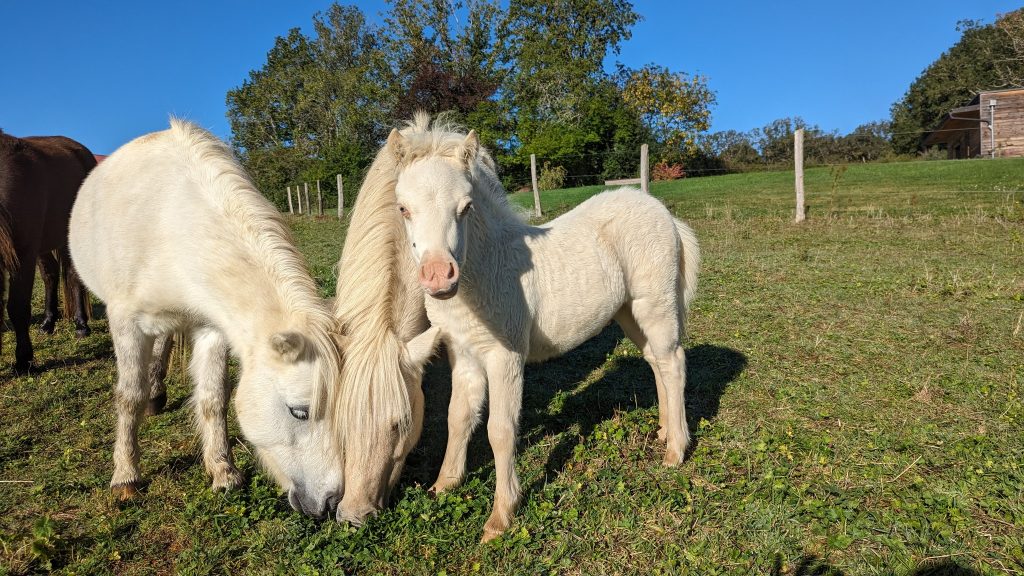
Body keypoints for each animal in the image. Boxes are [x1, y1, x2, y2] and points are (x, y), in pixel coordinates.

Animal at [0, 130, 94, 372]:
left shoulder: (23, 254)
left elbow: (17, 307)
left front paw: (23, 359)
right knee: (51, 274)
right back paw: (48, 322)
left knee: (74, 275)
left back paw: (81, 324)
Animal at [69, 120, 344, 518]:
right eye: (300, 412)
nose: (331, 502)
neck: (168, 223)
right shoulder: (126, 324)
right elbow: (129, 396)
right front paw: (126, 477)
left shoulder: (210, 329)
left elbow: (213, 398)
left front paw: (223, 473)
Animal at [380, 113, 700, 541]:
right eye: (403, 209)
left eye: (465, 207)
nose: (438, 277)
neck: (485, 272)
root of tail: (664, 213)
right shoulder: (463, 354)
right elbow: (457, 417)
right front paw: (444, 484)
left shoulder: (506, 356)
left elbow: (499, 430)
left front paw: (501, 515)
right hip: (629, 311)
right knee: (656, 361)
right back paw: (665, 430)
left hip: (656, 304)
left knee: (673, 361)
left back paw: (676, 450)